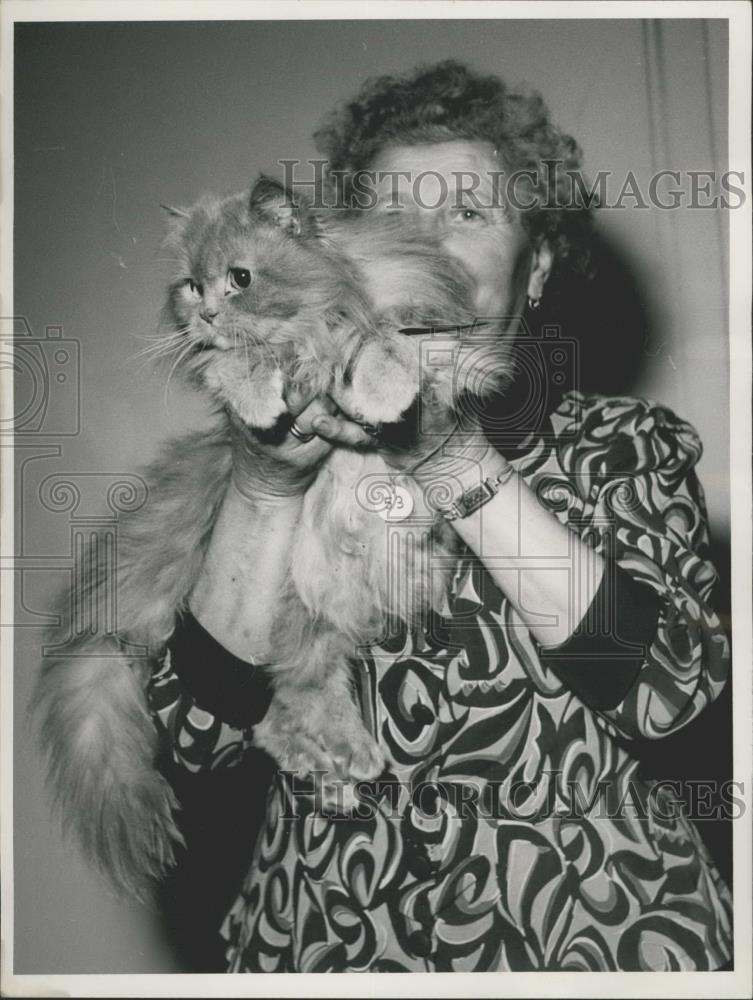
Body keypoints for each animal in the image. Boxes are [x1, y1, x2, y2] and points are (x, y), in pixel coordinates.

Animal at [33, 176, 512, 896]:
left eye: (240, 278)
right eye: (192, 286)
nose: (206, 313)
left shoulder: (408, 325)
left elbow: (379, 343)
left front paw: (384, 390)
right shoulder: (232, 362)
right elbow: (241, 364)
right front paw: (263, 398)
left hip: (329, 611)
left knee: (293, 704)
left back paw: (344, 770)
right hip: (304, 611)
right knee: (287, 710)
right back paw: (345, 770)